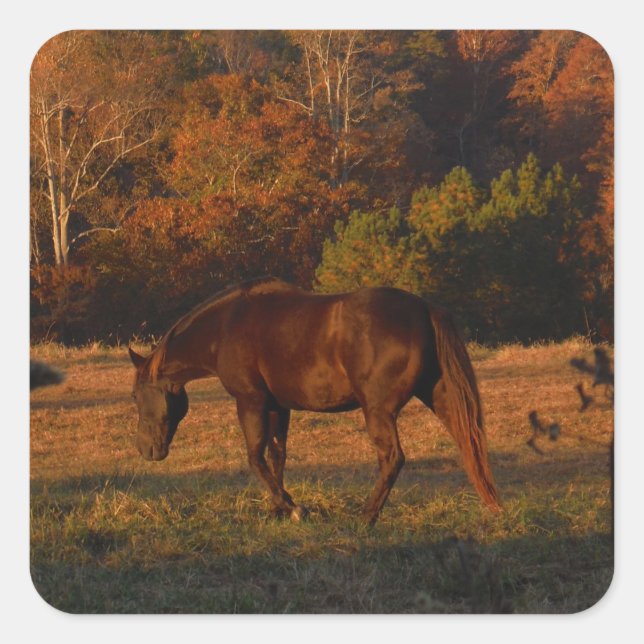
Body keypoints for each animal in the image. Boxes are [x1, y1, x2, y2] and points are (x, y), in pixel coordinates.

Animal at [128, 277, 501, 524]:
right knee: (469, 441)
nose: (146, 450)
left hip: (378, 412)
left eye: (135, 396)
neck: (226, 327)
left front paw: (293, 507)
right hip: (440, 397)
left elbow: (255, 458)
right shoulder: (278, 406)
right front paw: (279, 508)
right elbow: (277, 456)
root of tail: (425, 309)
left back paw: (366, 517)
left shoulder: (250, 402)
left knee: (393, 459)